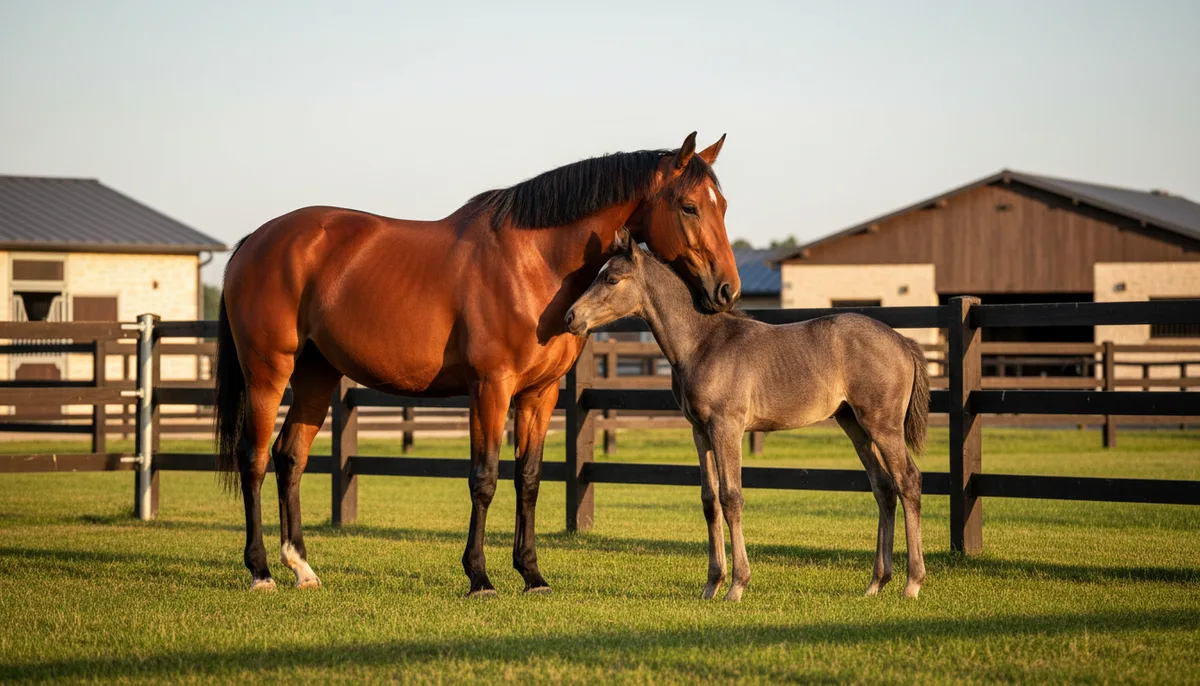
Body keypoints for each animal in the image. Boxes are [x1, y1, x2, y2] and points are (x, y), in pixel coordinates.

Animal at [215, 133, 740, 596]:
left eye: (723, 206)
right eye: (689, 206)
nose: (726, 291)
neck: (533, 263)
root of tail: (255, 240)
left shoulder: (539, 393)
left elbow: (528, 478)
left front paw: (532, 575)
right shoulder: (490, 387)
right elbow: (484, 478)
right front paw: (479, 577)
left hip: (315, 373)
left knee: (290, 457)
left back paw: (301, 568)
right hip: (268, 371)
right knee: (254, 458)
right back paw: (261, 571)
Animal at [564, 232, 930, 600]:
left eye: (612, 278)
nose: (570, 317)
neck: (702, 343)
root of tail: (902, 341)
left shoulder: (727, 426)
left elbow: (731, 497)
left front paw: (737, 585)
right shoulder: (700, 431)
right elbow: (709, 500)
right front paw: (712, 584)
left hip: (882, 425)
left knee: (908, 480)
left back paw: (912, 582)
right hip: (854, 424)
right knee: (883, 488)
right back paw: (877, 582)